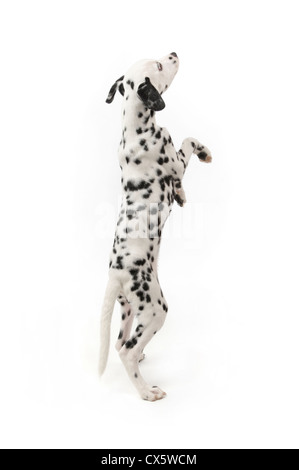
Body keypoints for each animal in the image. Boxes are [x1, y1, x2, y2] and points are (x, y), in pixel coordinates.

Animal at [99, 52, 212, 400]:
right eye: (160, 66)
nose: (173, 53)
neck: (135, 130)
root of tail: (115, 275)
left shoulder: (175, 170)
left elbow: (179, 184)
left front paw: (182, 195)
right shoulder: (175, 160)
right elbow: (189, 141)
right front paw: (205, 152)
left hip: (128, 310)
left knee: (122, 344)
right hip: (154, 309)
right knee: (126, 350)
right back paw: (147, 391)